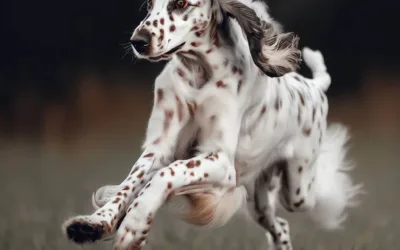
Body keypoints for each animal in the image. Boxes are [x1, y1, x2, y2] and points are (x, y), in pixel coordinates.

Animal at [61, 0, 362, 249]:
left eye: (181, 3)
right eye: (148, 4)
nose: (138, 41)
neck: (198, 74)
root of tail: (314, 86)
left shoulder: (220, 161)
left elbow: (166, 174)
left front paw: (135, 224)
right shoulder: (159, 147)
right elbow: (130, 183)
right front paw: (94, 224)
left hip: (298, 191)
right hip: (260, 201)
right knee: (281, 226)